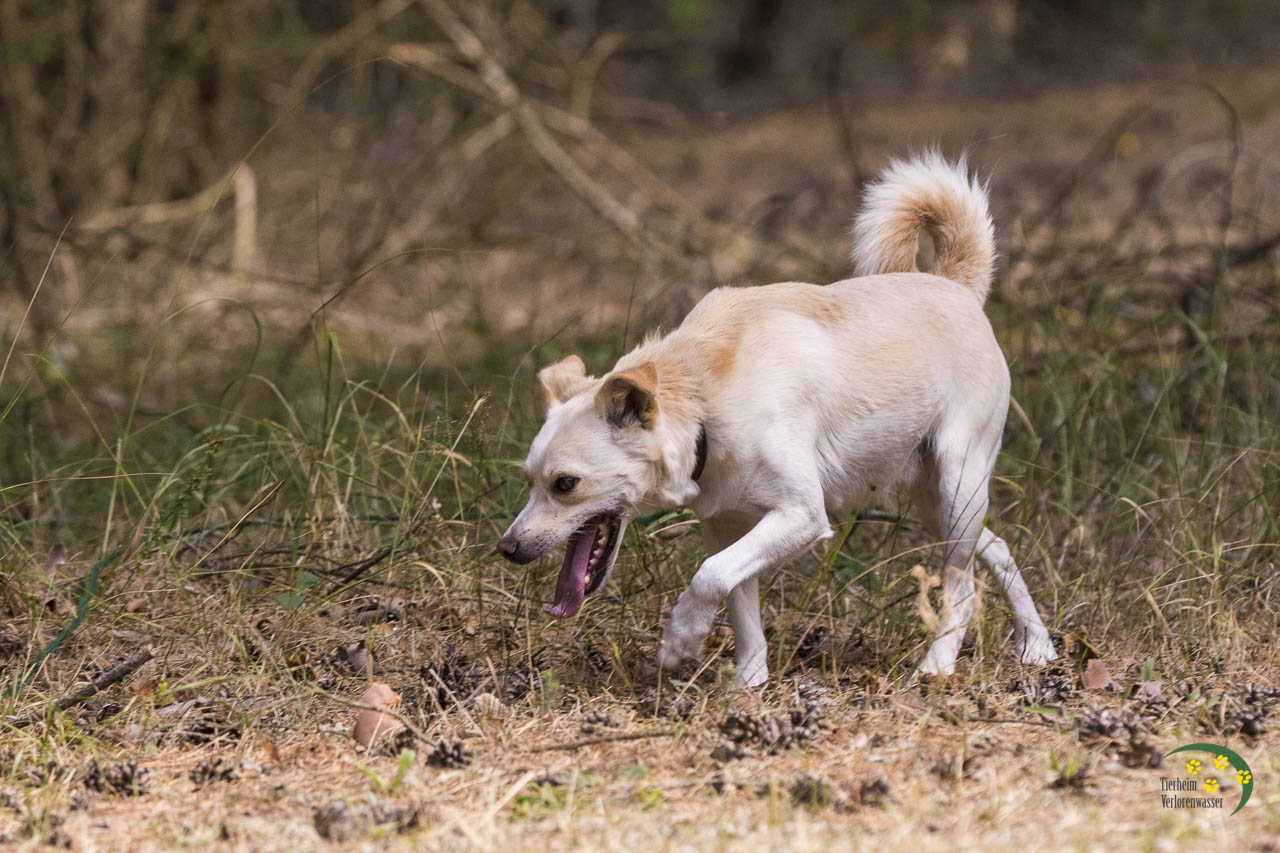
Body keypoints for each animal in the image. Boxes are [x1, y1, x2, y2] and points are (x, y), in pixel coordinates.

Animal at [497, 153, 1058, 686]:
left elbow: (708, 577)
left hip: (958, 486)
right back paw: (1036, 644)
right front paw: (748, 683)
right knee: (998, 549)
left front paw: (681, 639)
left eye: (565, 484)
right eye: (529, 481)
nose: (506, 548)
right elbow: (737, 601)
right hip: (937, 505)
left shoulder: (801, 516)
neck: (704, 401)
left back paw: (938, 664)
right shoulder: (728, 526)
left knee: (960, 586)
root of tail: (954, 286)